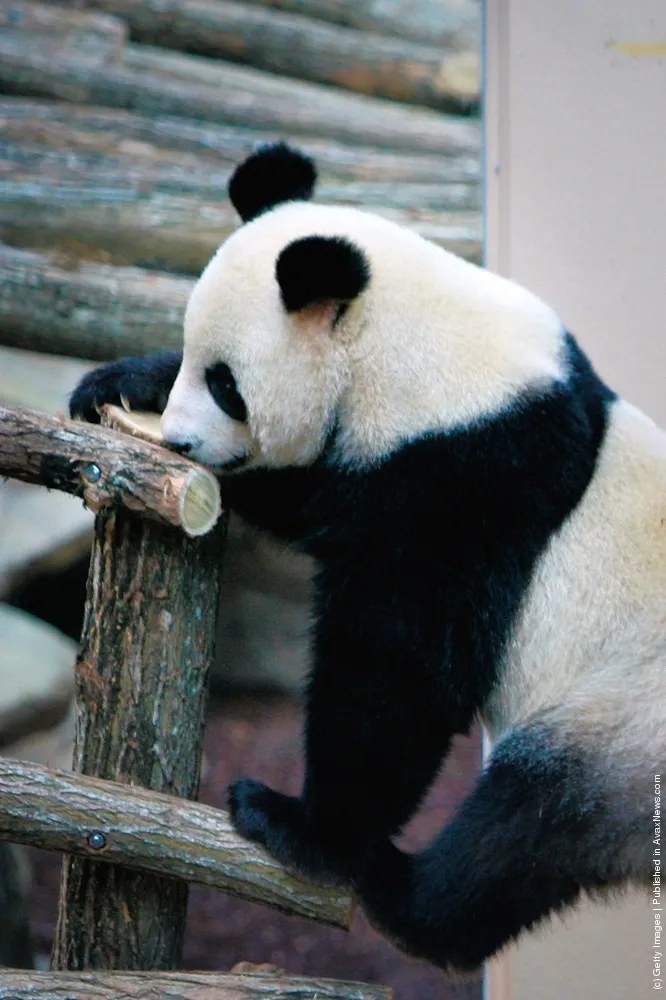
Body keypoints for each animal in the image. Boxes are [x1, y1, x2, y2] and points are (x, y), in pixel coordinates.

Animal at [70, 142, 666, 974]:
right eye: (194, 359)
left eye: (227, 385)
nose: (182, 442)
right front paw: (117, 381)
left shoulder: (471, 473)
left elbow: (397, 664)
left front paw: (306, 828)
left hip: (626, 718)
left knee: (529, 821)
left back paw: (404, 897)